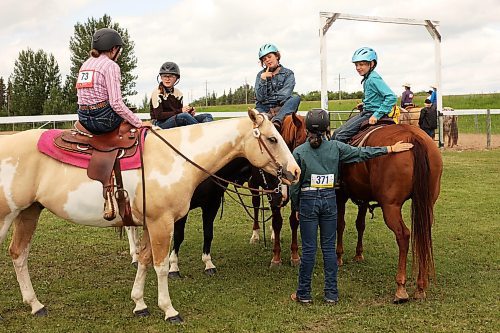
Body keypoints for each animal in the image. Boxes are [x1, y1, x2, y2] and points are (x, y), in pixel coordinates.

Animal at [0, 109, 298, 322]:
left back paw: (36, 305)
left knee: (18, 254)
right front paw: (169, 310)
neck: (176, 158)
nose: (294, 173)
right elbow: (161, 265)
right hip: (6, 217)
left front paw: (139, 303)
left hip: (29, 212)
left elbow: (144, 261)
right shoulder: (161, 222)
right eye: (272, 139)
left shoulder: (149, 223)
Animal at [248, 111, 306, 264]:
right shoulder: (274, 194)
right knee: (256, 205)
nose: (297, 173)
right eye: (302, 141)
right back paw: (255, 234)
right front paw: (276, 256)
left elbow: (293, 221)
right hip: (254, 186)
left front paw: (295, 255)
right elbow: (277, 222)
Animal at [336, 123, 442, 302]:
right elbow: (360, 224)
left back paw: (401, 288)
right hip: (426, 204)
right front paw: (358, 254)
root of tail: (414, 137)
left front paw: (338, 257)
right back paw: (420, 287)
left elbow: (340, 225)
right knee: (423, 234)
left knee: (403, 235)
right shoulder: (363, 198)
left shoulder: (340, 195)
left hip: (391, 206)